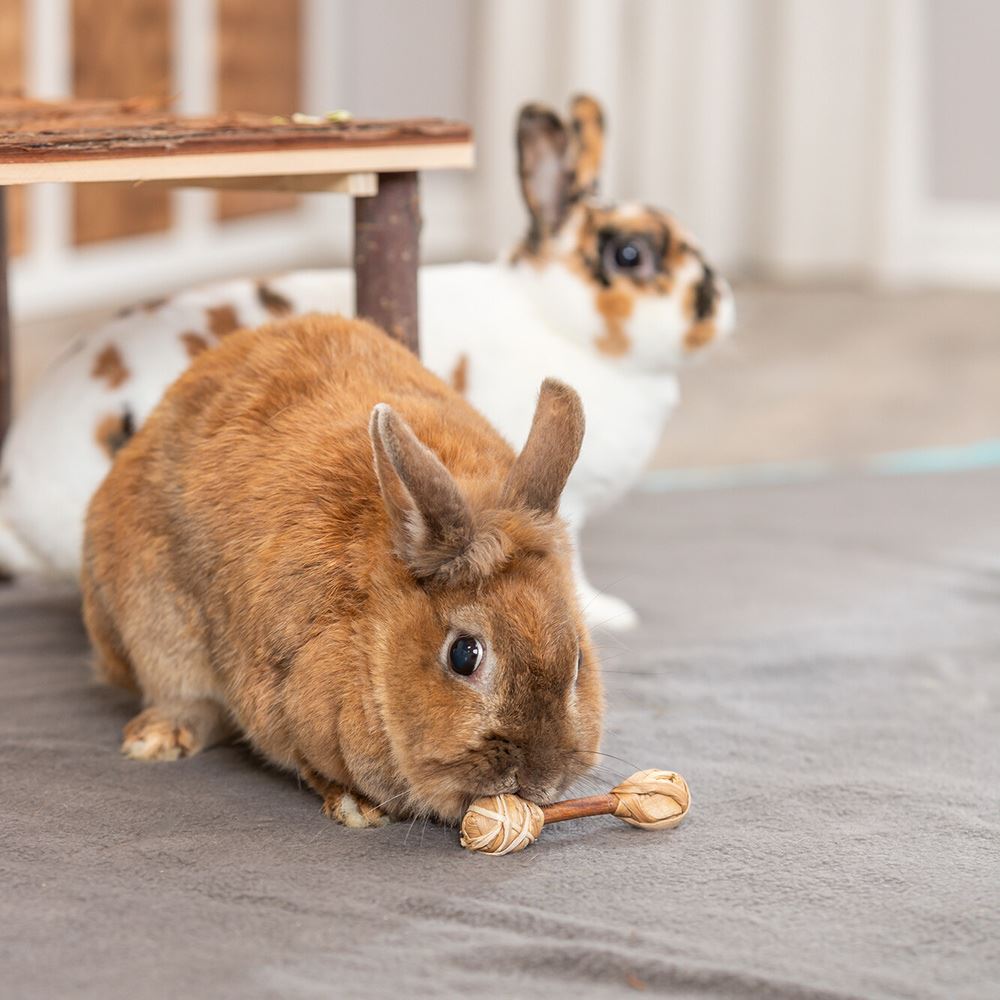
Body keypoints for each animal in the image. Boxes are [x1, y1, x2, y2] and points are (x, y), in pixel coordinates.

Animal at [84, 316, 600, 824]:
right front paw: (356, 808)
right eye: (464, 655)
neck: (371, 635)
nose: (539, 774)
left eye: (577, 659)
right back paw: (156, 739)